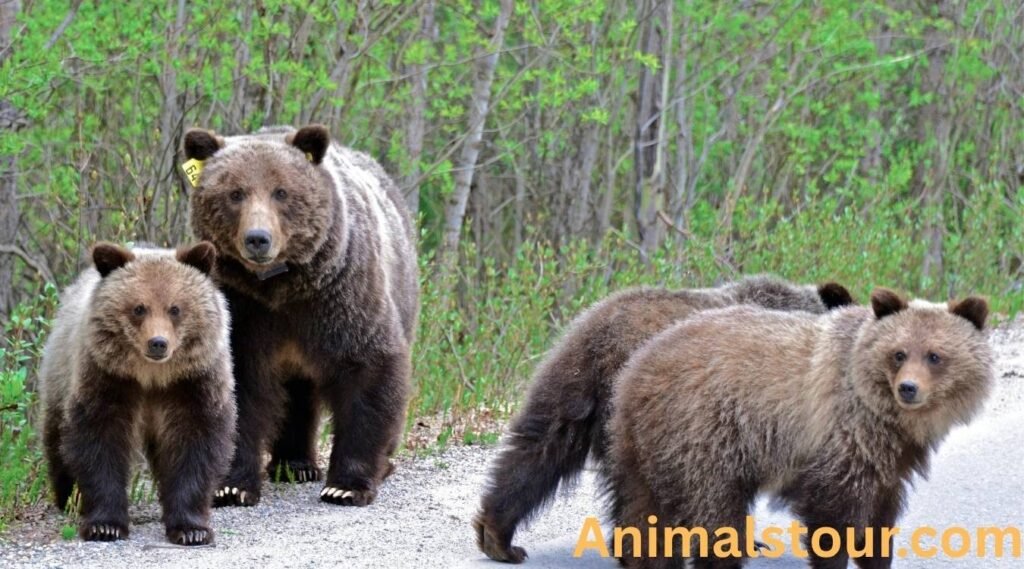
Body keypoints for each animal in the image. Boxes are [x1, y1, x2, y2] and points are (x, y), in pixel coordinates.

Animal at [39, 242, 235, 545]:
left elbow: (194, 443)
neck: (151, 376)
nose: (158, 343)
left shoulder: (191, 383)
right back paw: (68, 496)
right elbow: (100, 440)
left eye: (175, 308)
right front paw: (105, 525)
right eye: (139, 308)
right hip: (60, 374)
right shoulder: (109, 377)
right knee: (57, 439)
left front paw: (191, 529)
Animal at [183, 124, 419, 507]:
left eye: (281, 192)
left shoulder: (341, 295)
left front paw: (345, 486)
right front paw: (231, 486)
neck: (282, 287)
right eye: (235, 193)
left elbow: (369, 368)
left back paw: (381, 464)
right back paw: (294, 464)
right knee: (296, 394)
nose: (258, 239)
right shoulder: (243, 308)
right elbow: (240, 384)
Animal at [606, 288, 992, 568]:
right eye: (898, 353)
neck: (887, 417)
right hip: (705, 435)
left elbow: (880, 520)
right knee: (715, 513)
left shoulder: (890, 460)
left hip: (643, 448)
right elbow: (833, 518)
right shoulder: (842, 437)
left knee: (642, 512)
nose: (908, 388)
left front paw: (877, 558)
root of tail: (636, 369)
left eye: (934, 355)